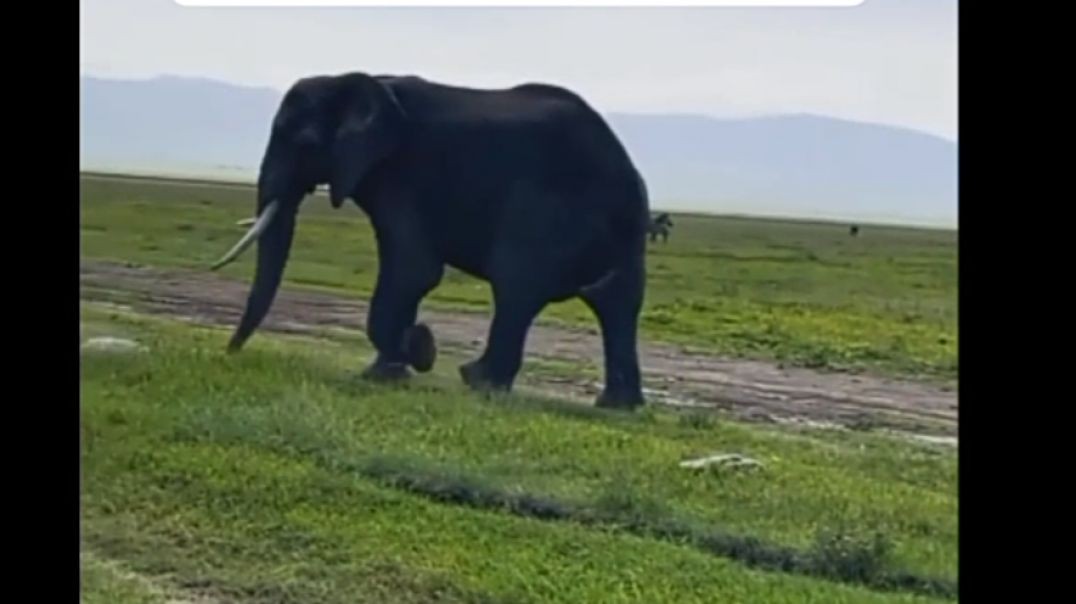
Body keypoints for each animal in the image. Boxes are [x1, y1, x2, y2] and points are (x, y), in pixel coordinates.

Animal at [208, 70, 645, 409]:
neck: (354, 81)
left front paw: (412, 354)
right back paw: (617, 405)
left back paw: (478, 380)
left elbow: (413, 268)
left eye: (305, 143)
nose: (229, 353)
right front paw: (398, 363)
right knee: (616, 300)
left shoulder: (401, 173)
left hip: (547, 209)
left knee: (518, 285)